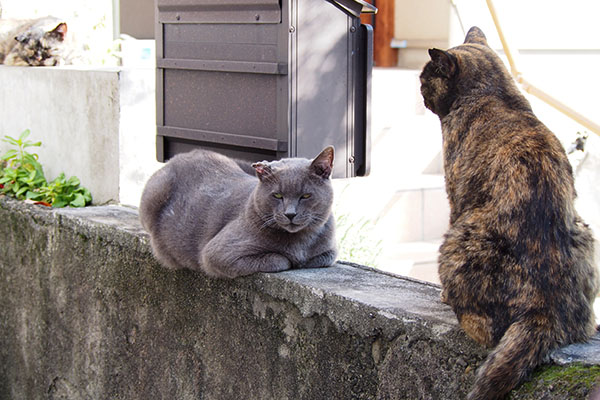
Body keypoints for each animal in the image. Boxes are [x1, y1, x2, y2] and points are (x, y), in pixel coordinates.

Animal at [139, 147, 340, 278]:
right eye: (277, 195)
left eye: (306, 195)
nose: (290, 214)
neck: (301, 242)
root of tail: (177, 157)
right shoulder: (216, 253)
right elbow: (280, 260)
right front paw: (292, 260)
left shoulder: (330, 251)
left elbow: (323, 257)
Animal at [420, 26, 600, 398]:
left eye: (426, 78)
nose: (420, 92)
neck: (497, 94)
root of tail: (545, 312)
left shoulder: (455, 194)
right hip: (585, 232)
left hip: (456, 239)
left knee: (485, 330)